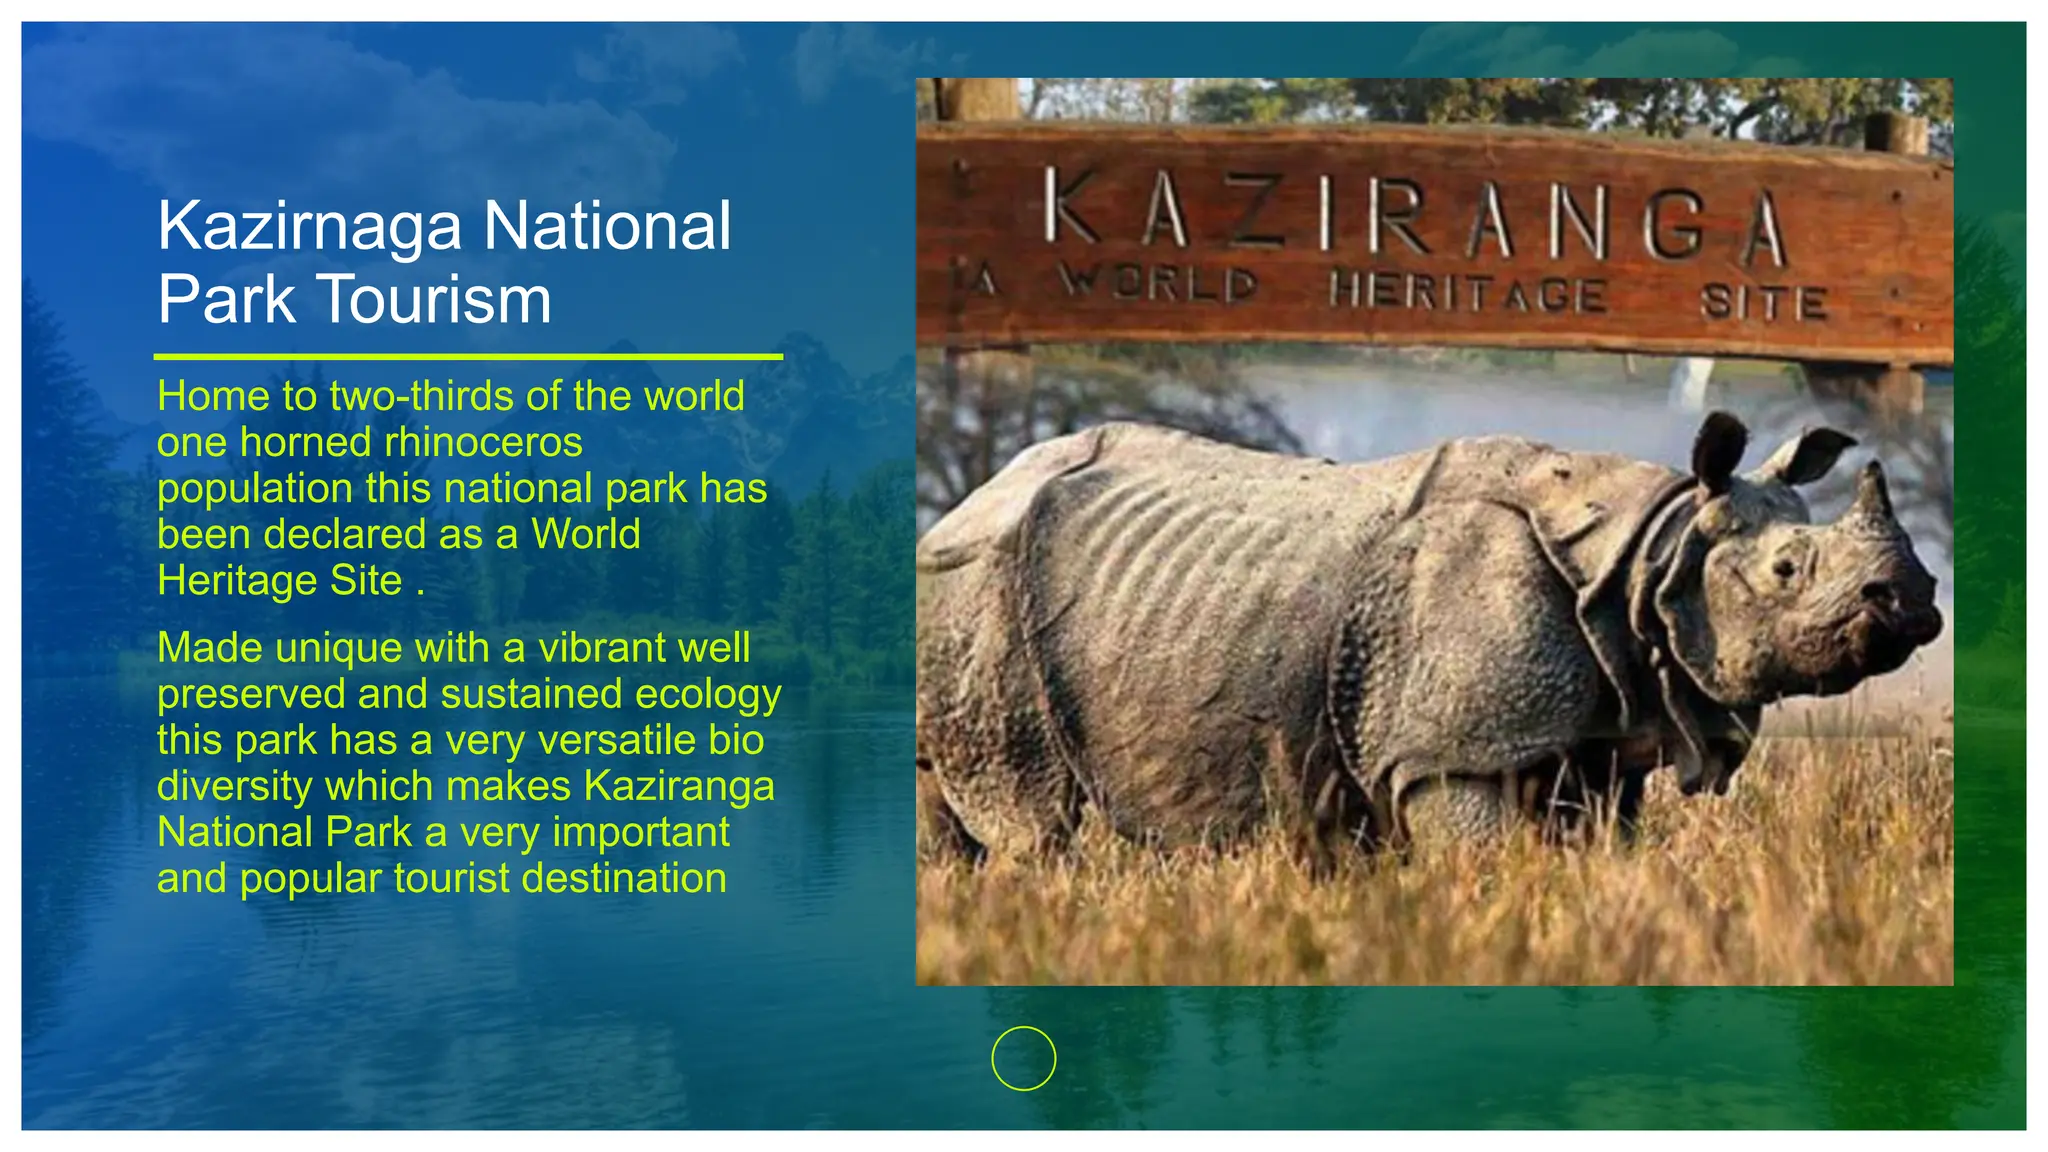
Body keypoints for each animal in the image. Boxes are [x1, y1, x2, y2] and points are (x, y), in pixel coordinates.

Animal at [914, 412, 1943, 861]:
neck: (1653, 554)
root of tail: (964, 503)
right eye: (1787, 572)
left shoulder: (1602, 735)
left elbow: (1600, 850)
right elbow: (1479, 859)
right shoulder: (1446, 750)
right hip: (974, 587)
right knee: (1031, 820)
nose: (1916, 601)